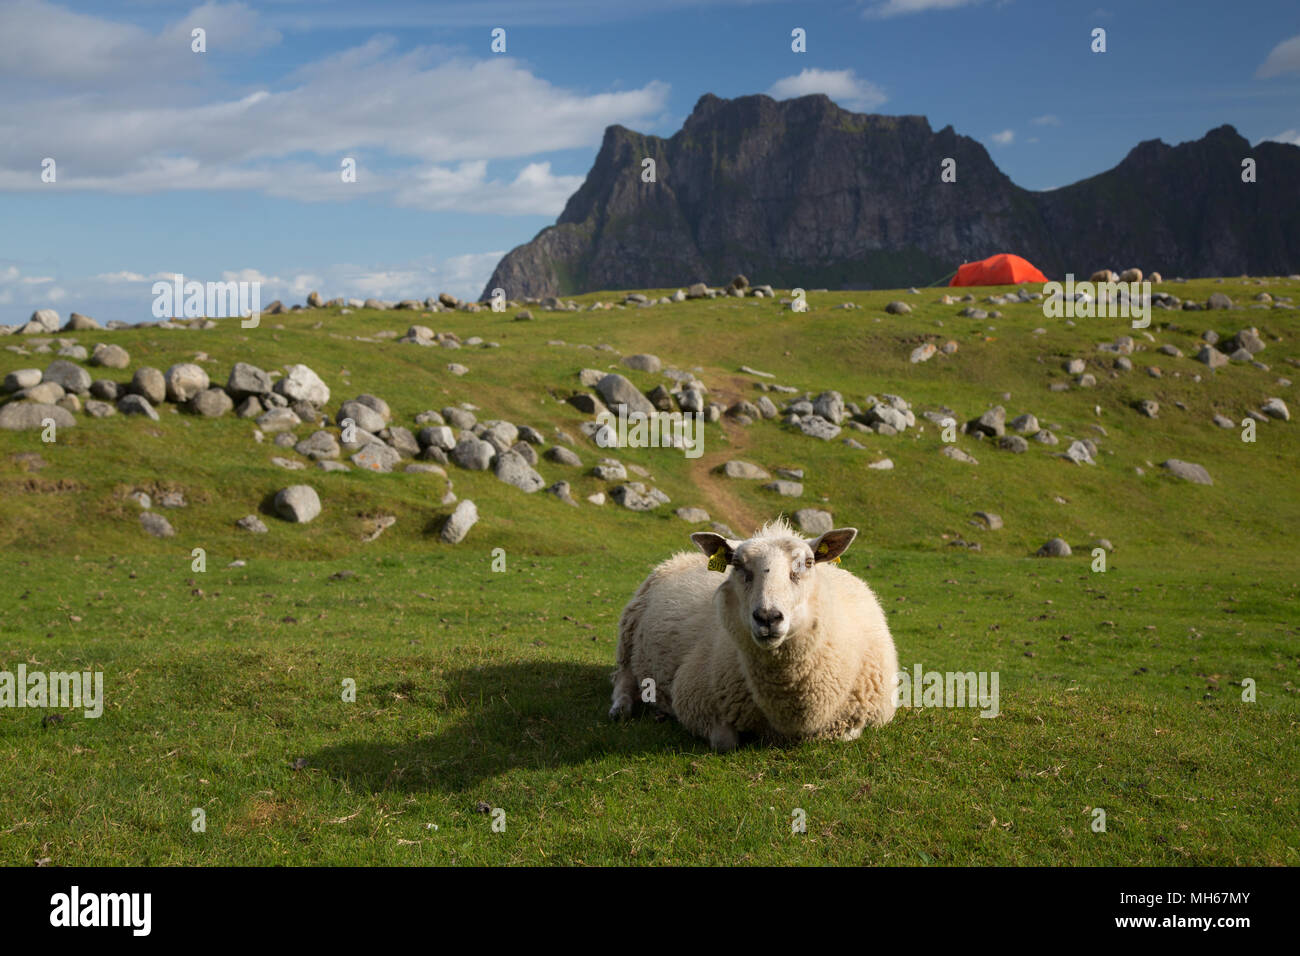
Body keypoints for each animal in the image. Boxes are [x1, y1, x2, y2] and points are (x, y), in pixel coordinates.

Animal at [605, 520, 894, 749]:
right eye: (737, 564)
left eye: (808, 563)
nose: (767, 617)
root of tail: (682, 556)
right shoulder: (695, 699)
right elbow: (725, 742)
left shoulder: (872, 713)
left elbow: (845, 734)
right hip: (628, 635)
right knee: (623, 678)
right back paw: (621, 709)